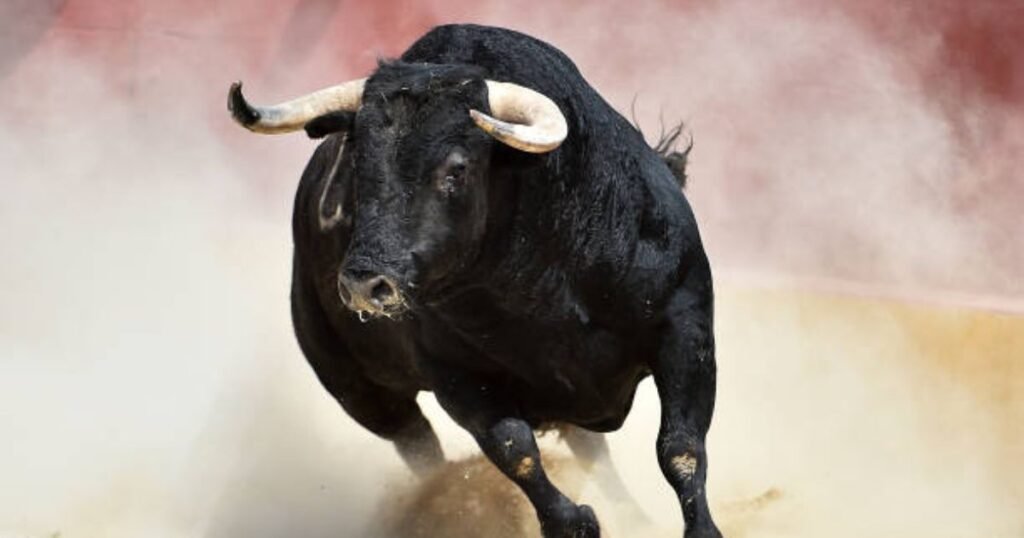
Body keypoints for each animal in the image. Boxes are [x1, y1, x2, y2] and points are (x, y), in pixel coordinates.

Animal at [227, 24, 721, 538]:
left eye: (456, 169)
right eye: (357, 166)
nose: (364, 284)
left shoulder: (685, 328)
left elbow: (681, 446)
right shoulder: (456, 376)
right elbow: (515, 451)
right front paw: (575, 522)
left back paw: (635, 517)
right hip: (362, 392)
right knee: (424, 451)